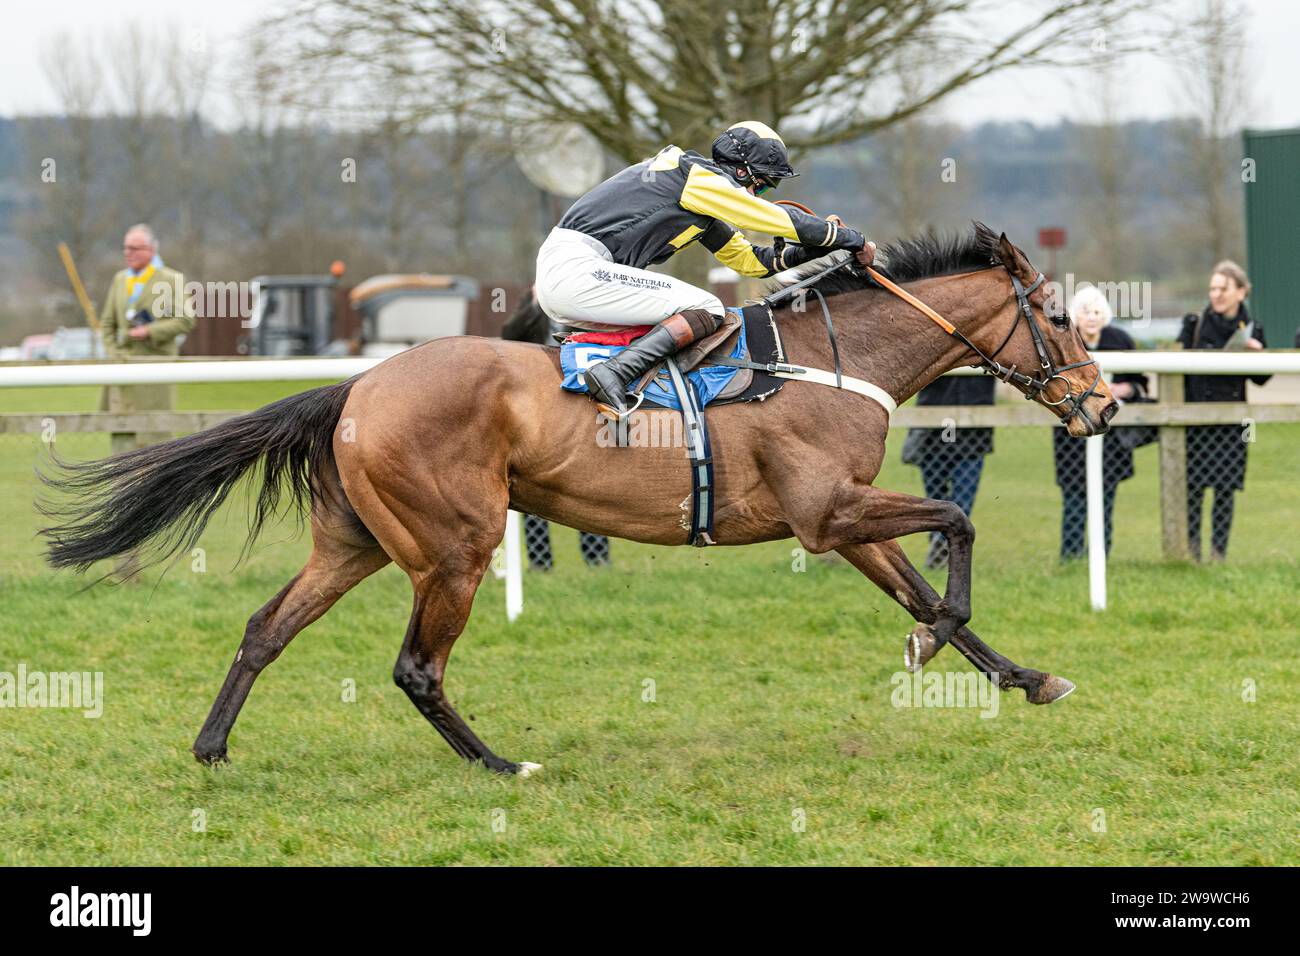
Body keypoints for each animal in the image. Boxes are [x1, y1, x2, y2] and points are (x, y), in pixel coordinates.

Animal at [40, 226, 1118, 780]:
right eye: (1057, 318)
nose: (1105, 403)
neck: (826, 357)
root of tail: (356, 387)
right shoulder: (829, 511)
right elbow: (958, 528)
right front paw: (936, 642)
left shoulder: (842, 516)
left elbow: (922, 585)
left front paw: (1021, 674)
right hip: (456, 546)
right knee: (416, 666)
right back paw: (499, 764)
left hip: (356, 544)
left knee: (267, 626)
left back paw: (213, 745)